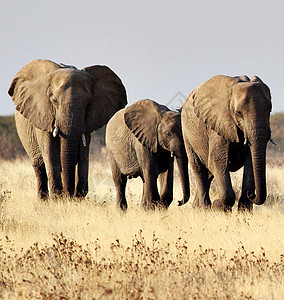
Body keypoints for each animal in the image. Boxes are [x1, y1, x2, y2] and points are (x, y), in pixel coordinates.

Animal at [8, 58, 127, 199]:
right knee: (39, 166)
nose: (69, 195)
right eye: (54, 100)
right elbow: (50, 152)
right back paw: (43, 200)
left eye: (88, 103)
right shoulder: (43, 114)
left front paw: (78, 197)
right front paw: (58, 198)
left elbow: (83, 153)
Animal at [181, 75, 272, 211]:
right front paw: (218, 205)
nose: (252, 195)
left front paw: (244, 212)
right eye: (238, 113)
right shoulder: (218, 123)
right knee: (199, 167)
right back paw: (204, 207)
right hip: (187, 133)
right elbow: (217, 160)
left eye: (269, 111)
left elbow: (250, 162)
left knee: (209, 173)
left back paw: (197, 207)